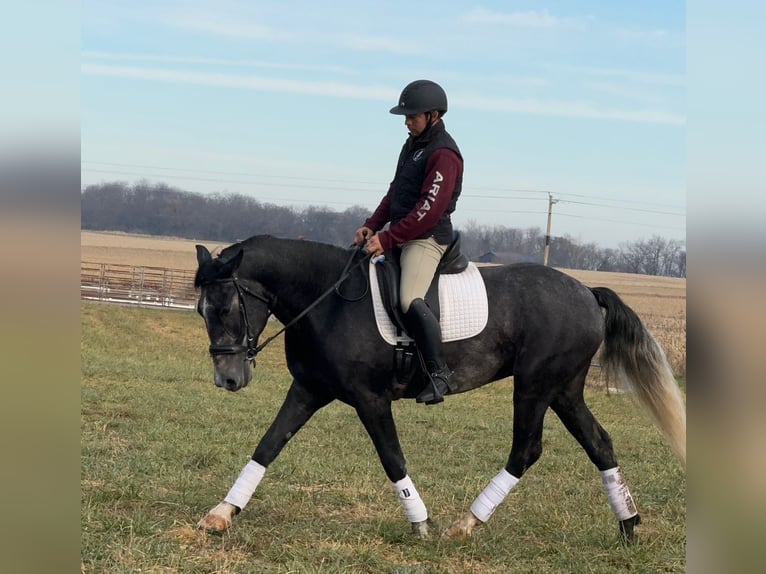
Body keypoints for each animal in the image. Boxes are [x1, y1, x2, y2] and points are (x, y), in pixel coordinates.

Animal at [192, 234, 685, 542]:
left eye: (226, 306)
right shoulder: (309, 390)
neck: (327, 300)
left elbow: (392, 458)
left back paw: (464, 525)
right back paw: (628, 525)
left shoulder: (369, 399)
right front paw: (221, 514)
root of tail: (585, 290)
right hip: (564, 390)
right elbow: (268, 445)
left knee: (526, 450)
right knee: (599, 443)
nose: (228, 379)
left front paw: (421, 524)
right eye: (200, 310)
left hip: (535, 386)